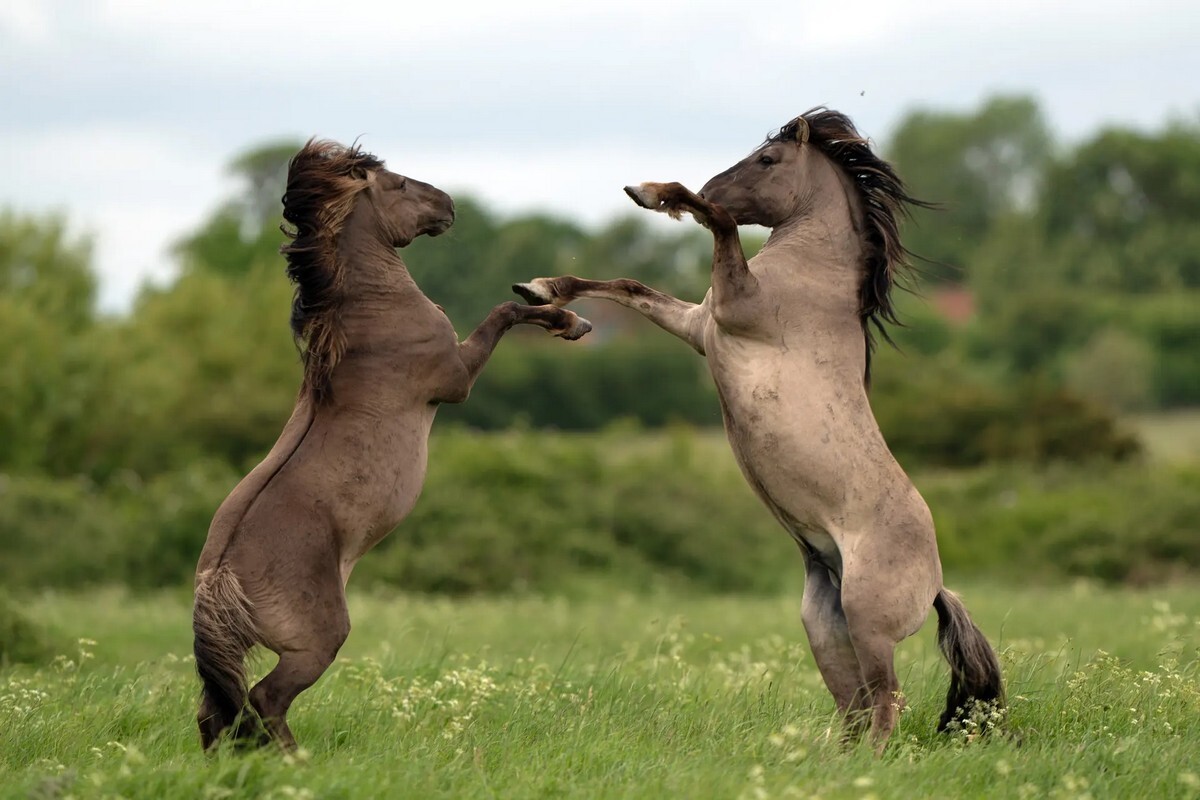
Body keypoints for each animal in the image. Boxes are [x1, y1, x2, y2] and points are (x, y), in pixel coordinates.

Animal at [192, 139, 590, 753]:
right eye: (399, 184)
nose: (449, 203)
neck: (370, 314)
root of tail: (218, 579)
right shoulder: (457, 378)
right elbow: (504, 313)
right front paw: (568, 320)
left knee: (216, 715)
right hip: (317, 640)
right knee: (264, 700)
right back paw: (297, 761)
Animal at [516, 107, 1003, 753]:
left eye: (768, 160)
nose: (713, 182)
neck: (812, 275)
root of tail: (937, 585)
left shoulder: (731, 307)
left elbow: (717, 223)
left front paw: (658, 194)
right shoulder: (701, 324)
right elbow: (629, 287)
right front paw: (546, 293)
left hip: (869, 625)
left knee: (887, 701)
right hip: (826, 624)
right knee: (856, 704)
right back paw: (831, 761)